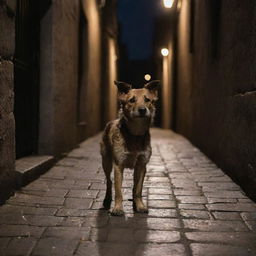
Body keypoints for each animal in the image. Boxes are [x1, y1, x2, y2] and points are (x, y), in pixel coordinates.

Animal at [99, 80, 158, 216]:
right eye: (131, 100)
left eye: (147, 100)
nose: (142, 110)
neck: (135, 134)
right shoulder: (118, 165)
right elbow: (118, 191)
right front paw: (118, 208)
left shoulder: (141, 165)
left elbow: (138, 189)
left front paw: (140, 205)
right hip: (106, 161)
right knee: (109, 181)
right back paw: (107, 200)